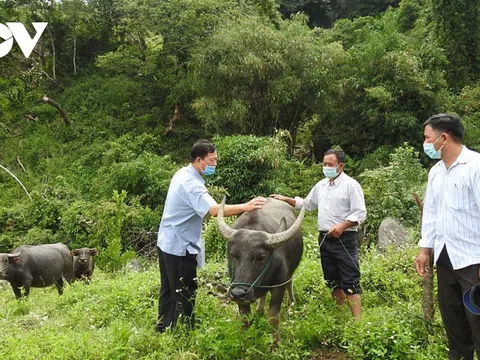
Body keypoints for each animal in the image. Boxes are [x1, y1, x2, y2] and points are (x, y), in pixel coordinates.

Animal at [217, 198, 304, 344]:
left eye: (261, 257)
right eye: (233, 255)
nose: (238, 293)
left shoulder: (278, 286)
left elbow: (273, 317)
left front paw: (275, 344)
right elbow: (245, 319)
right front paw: (244, 342)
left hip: (290, 272)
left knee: (289, 282)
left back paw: (291, 302)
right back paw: (259, 309)